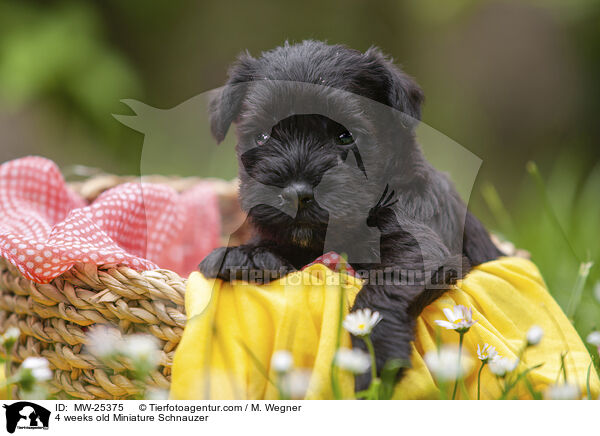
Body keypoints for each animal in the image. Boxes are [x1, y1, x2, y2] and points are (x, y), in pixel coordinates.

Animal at [200, 40, 502, 388]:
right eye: (262, 136)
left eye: (346, 136)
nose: (296, 194)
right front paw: (246, 255)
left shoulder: (421, 249)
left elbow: (385, 288)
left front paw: (375, 357)